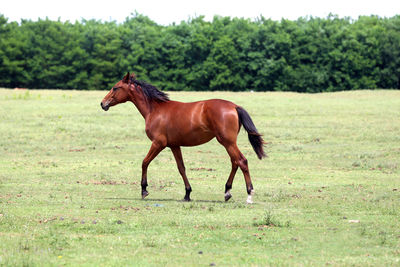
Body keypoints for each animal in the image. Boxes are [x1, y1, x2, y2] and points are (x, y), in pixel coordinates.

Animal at [101, 72, 268, 204]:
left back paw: (249, 195)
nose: (103, 103)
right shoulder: (174, 145)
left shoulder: (158, 143)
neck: (155, 109)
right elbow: (181, 168)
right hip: (228, 143)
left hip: (227, 142)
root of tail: (234, 106)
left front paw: (144, 190)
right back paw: (227, 192)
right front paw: (187, 193)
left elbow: (144, 162)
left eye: (115, 87)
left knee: (241, 161)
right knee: (235, 162)